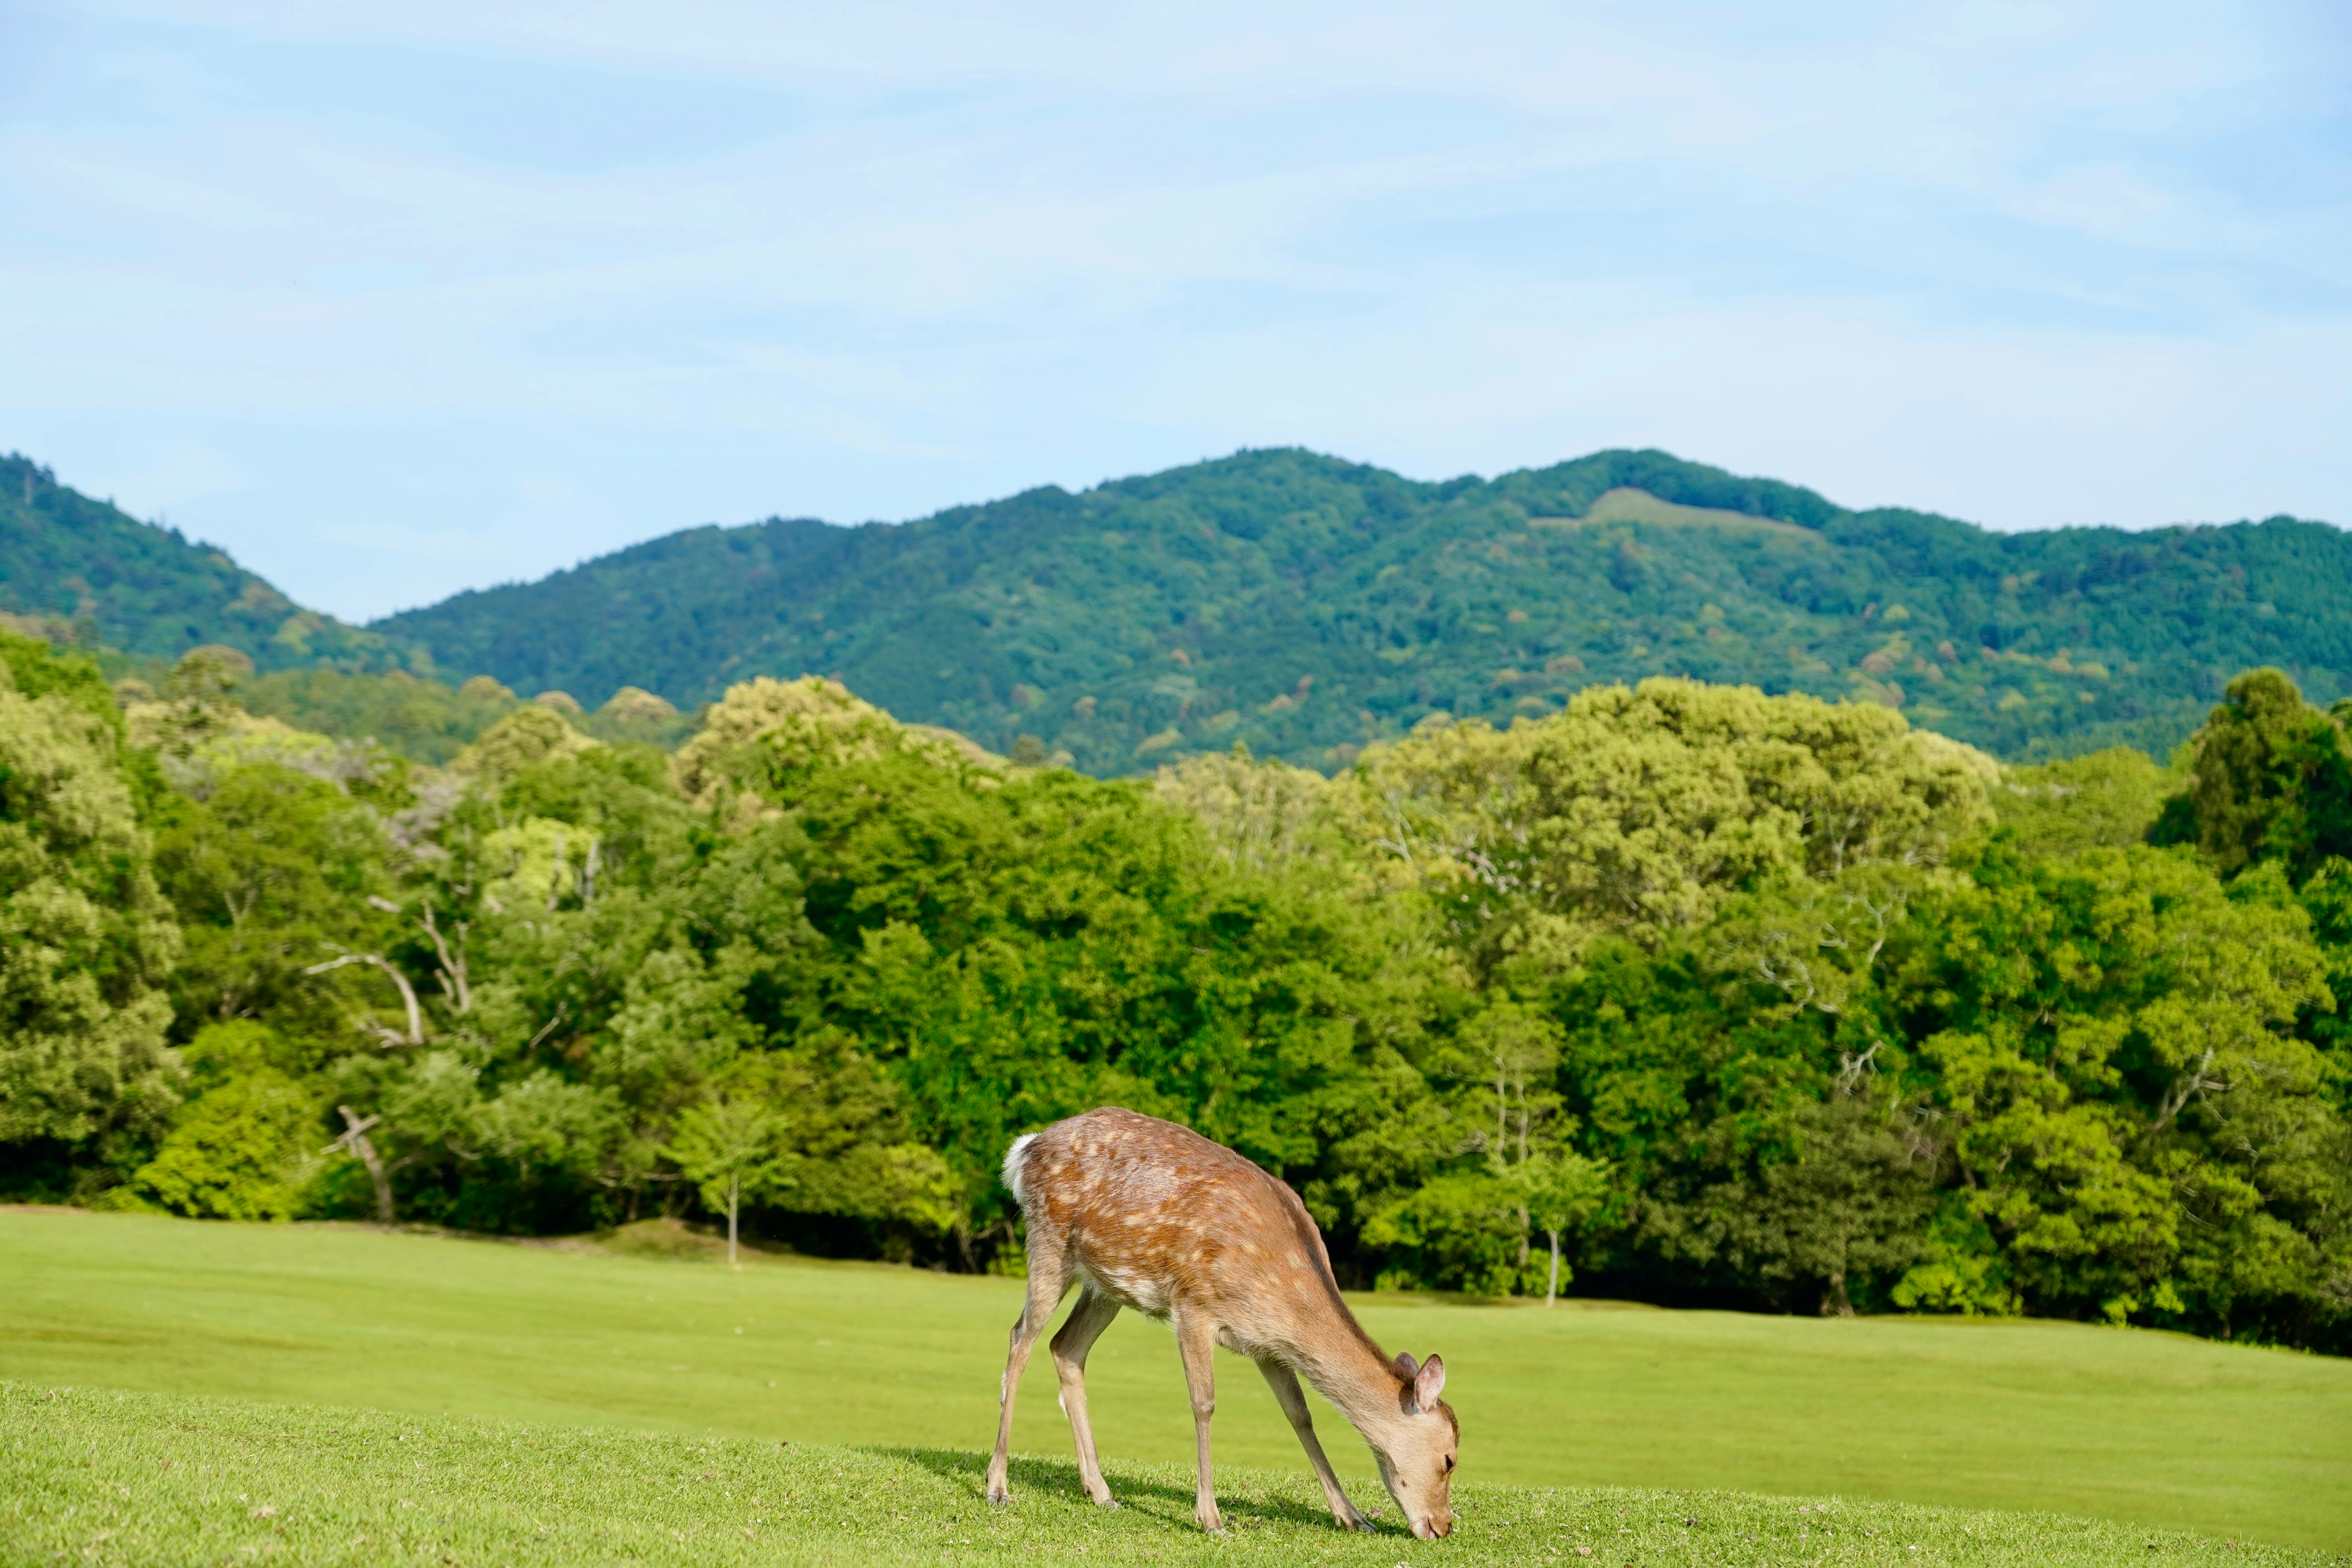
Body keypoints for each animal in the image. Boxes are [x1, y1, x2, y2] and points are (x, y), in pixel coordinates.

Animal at [984, 1106, 1458, 1539]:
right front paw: (1210, 1518)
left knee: (1065, 1348)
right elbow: (1205, 1403)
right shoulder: (1194, 1305)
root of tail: (1026, 1148)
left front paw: (1353, 1517)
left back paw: (1100, 1491)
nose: (1443, 1526)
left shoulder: (1269, 1345)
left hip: (1106, 1286)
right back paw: (998, 1485)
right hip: (1048, 1241)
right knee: (1020, 1339)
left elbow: (1300, 1415)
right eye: (1451, 1458)